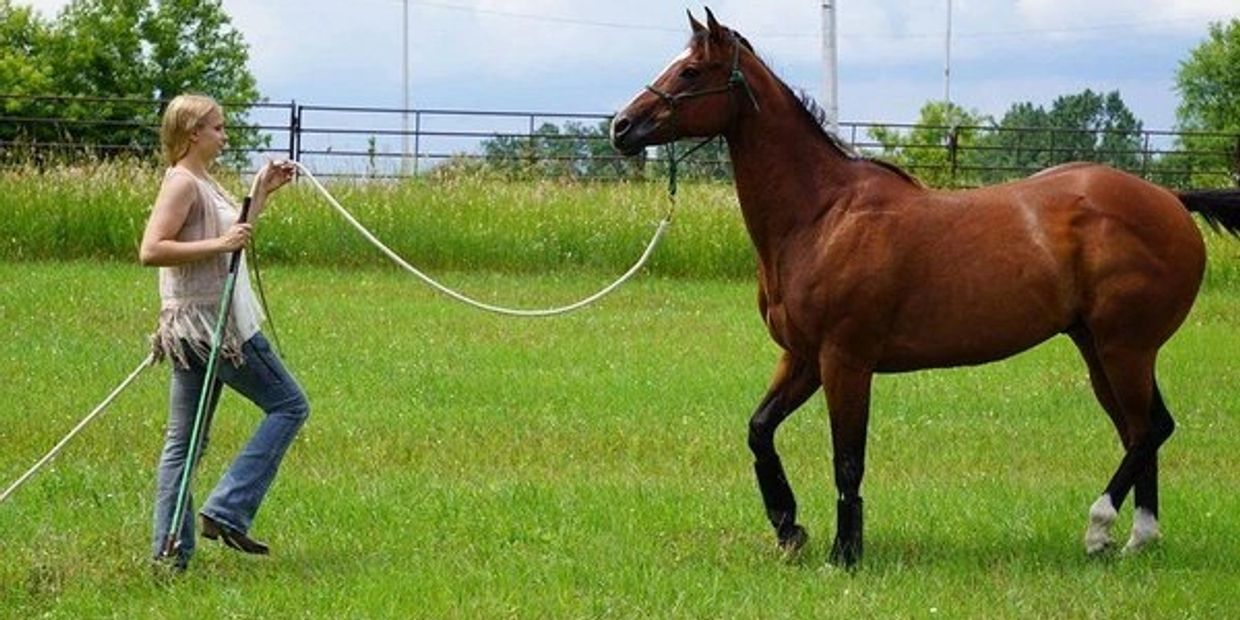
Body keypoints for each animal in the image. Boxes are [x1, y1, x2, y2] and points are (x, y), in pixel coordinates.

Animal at [610, 8, 1240, 568]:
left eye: (691, 72)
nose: (621, 126)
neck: (821, 216)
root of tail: (1170, 200)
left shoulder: (846, 360)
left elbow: (847, 460)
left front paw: (845, 553)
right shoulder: (803, 357)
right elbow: (760, 431)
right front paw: (789, 529)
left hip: (1124, 347)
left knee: (1149, 429)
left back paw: (1098, 529)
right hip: (1098, 348)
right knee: (1141, 431)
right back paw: (1137, 541)